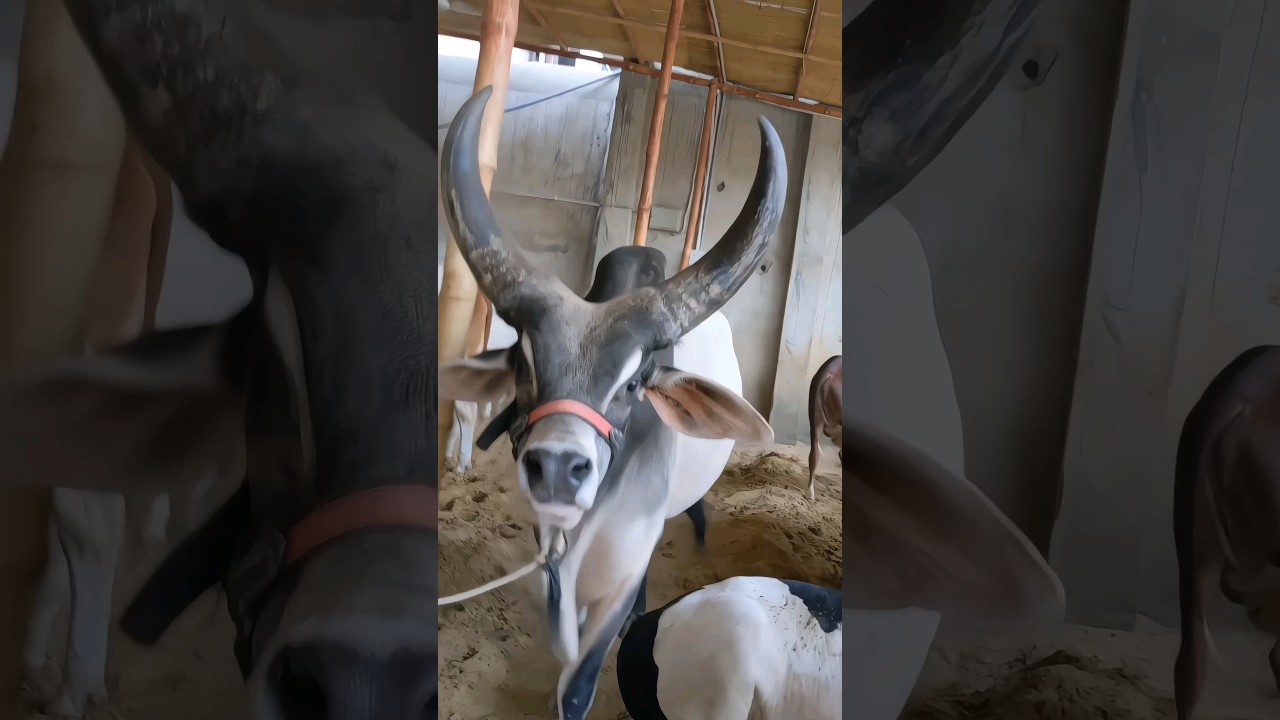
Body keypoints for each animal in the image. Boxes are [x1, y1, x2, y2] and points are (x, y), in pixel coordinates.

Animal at [437, 86, 784, 720]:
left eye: (633, 383)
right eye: (524, 365)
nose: (556, 467)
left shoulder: (626, 561)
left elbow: (580, 680)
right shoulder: (551, 545)